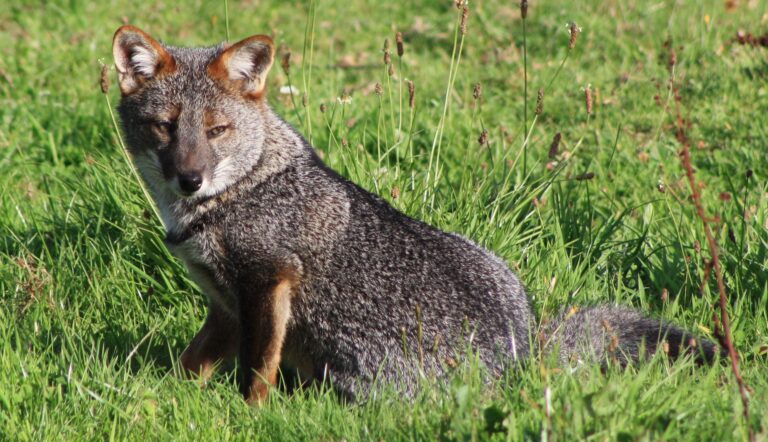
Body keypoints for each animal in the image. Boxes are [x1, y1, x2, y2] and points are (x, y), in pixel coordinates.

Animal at [111, 25, 721, 404]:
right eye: (166, 127)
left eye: (217, 131)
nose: (190, 178)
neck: (242, 190)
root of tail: (525, 362)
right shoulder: (227, 303)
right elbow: (193, 363)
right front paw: (167, 397)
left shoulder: (268, 281)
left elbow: (257, 370)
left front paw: (249, 412)